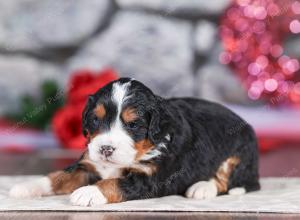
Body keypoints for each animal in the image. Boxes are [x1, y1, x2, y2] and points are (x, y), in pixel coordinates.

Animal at [9, 78, 260, 206]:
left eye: (133, 125)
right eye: (95, 119)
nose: (105, 148)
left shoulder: (151, 178)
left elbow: (115, 183)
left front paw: (88, 193)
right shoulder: (88, 164)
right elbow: (58, 176)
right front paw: (26, 186)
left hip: (239, 152)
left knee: (229, 180)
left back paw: (202, 187)